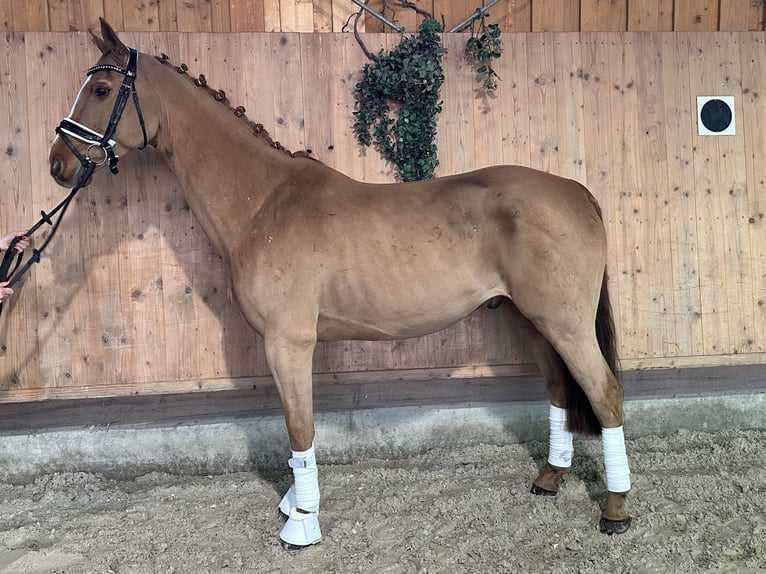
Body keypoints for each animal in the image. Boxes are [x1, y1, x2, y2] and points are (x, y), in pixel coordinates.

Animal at [49, 20, 636, 552]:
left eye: (101, 89)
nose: (57, 164)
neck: (264, 203)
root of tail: (574, 190)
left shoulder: (287, 343)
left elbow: (298, 428)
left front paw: (301, 522)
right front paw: (293, 504)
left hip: (565, 324)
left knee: (605, 394)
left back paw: (615, 511)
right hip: (530, 321)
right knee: (560, 390)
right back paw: (548, 480)